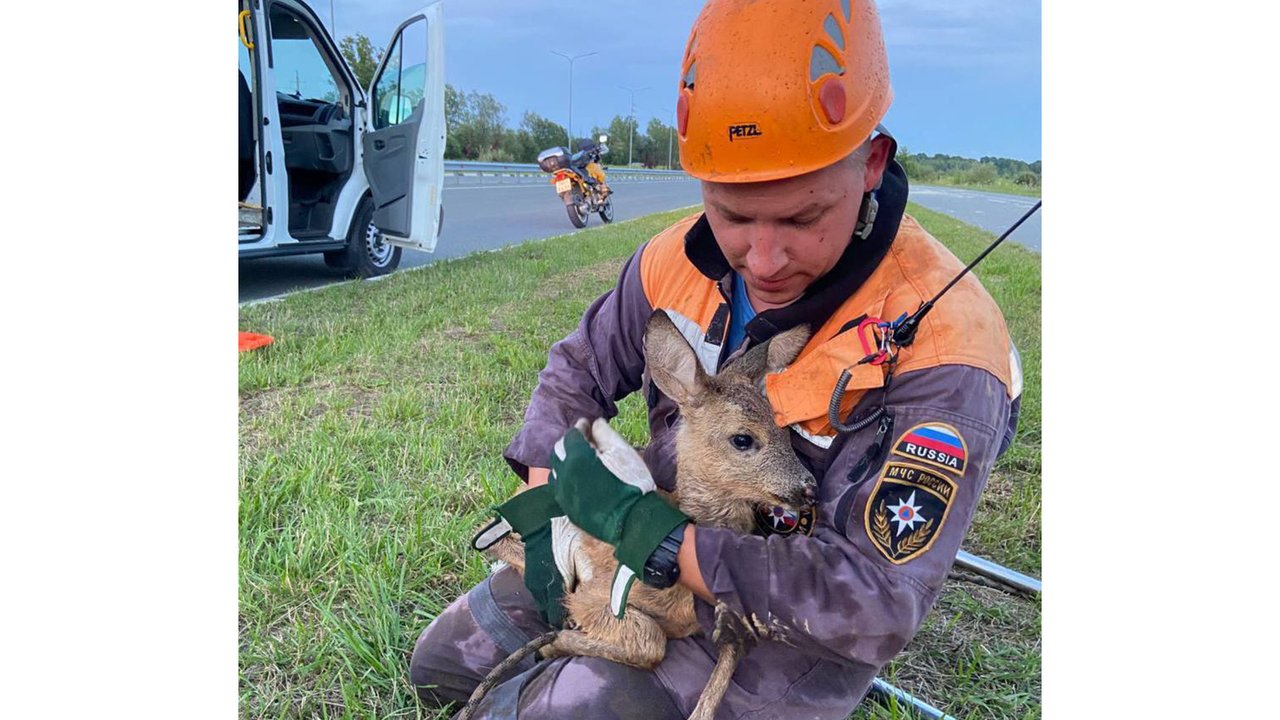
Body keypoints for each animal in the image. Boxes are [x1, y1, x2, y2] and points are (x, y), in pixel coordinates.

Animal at [481, 311, 819, 712]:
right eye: (742, 439)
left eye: (787, 433)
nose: (810, 487)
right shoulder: (594, 594)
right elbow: (650, 641)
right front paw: (556, 642)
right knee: (491, 535)